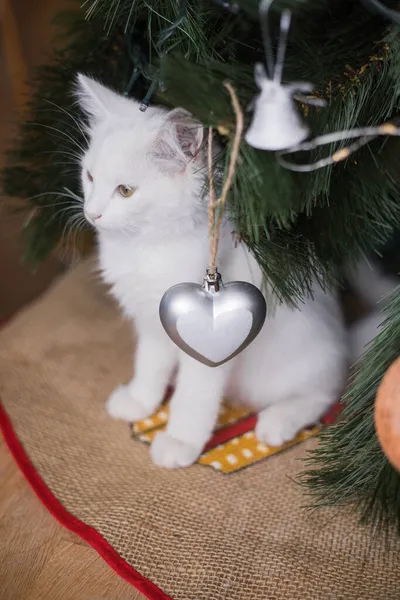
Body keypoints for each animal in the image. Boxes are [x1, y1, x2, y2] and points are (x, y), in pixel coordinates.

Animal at [76, 74, 348, 468]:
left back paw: (277, 422)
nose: (91, 213)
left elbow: (195, 395)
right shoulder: (152, 321)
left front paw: (180, 441)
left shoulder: (210, 337)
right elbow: (150, 363)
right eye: (90, 176)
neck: (145, 246)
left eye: (125, 191)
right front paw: (140, 401)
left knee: (323, 392)